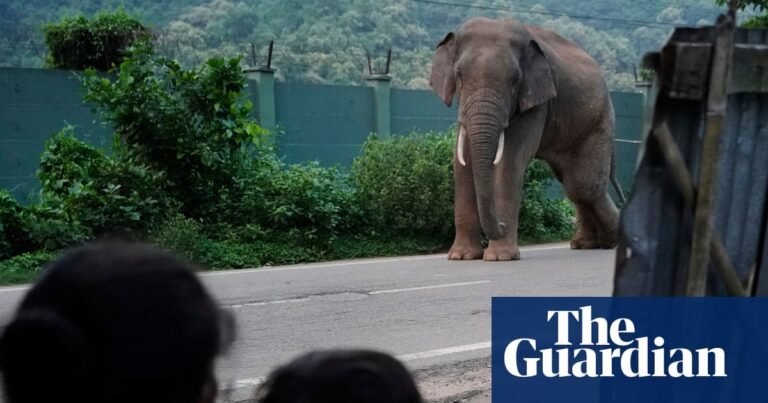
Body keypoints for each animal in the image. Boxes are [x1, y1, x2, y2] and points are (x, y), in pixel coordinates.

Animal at [429, 17, 625, 261]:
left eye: (515, 80)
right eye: (459, 75)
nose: (501, 225)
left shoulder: (537, 100)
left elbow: (510, 160)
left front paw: (500, 258)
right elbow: (462, 162)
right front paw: (461, 257)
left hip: (598, 123)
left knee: (582, 186)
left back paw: (610, 241)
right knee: (574, 184)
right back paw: (585, 244)